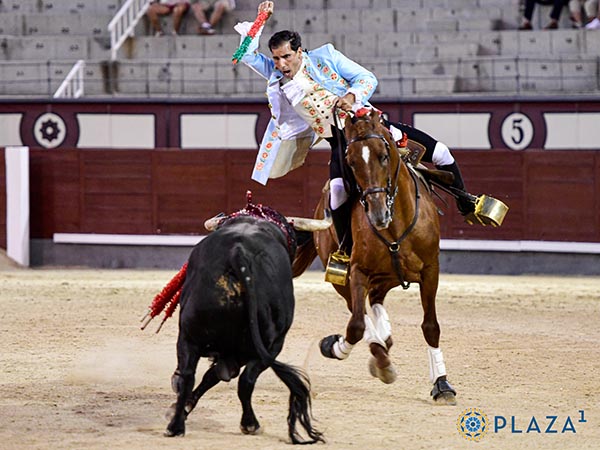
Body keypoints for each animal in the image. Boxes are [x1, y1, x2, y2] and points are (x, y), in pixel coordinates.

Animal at [164, 214, 324, 442]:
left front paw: (183, 407)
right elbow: (217, 376)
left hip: (189, 336)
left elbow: (210, 376)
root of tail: (238, 254)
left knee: (189, 376)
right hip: (269, 345)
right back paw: (250, 424)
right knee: (245, 381)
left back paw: (175, 425)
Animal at [292, 109, 458, 404]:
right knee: (361, 312)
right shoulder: (357, 272)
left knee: (377, 303)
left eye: (384, 155)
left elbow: (431, 326)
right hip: (344, 278)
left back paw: (385, 337)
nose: (378, 213)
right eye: (351, 161)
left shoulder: (431, 271)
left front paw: (442, 384)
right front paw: (337, 347)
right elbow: (356, 326)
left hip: (385, 278)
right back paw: (378, 351)